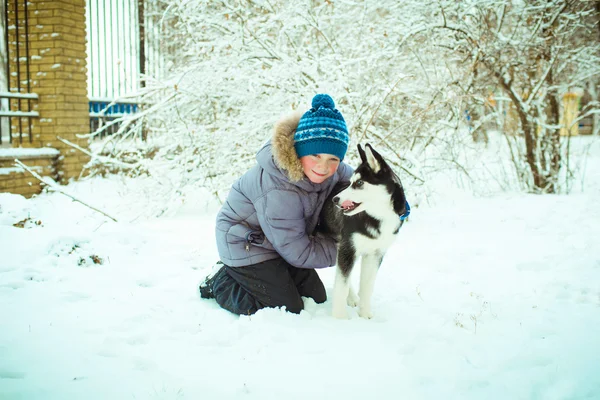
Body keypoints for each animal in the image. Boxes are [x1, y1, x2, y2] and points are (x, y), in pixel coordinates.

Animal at [318, 144, 408, 318]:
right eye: (350, 182)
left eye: (359, 183)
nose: (334, 199)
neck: (379, 217)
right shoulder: (349, 248)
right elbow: (341, 285)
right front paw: (339, 318)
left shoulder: (375, 254)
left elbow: (367, 287)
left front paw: (365, 315)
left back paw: (352, 297)